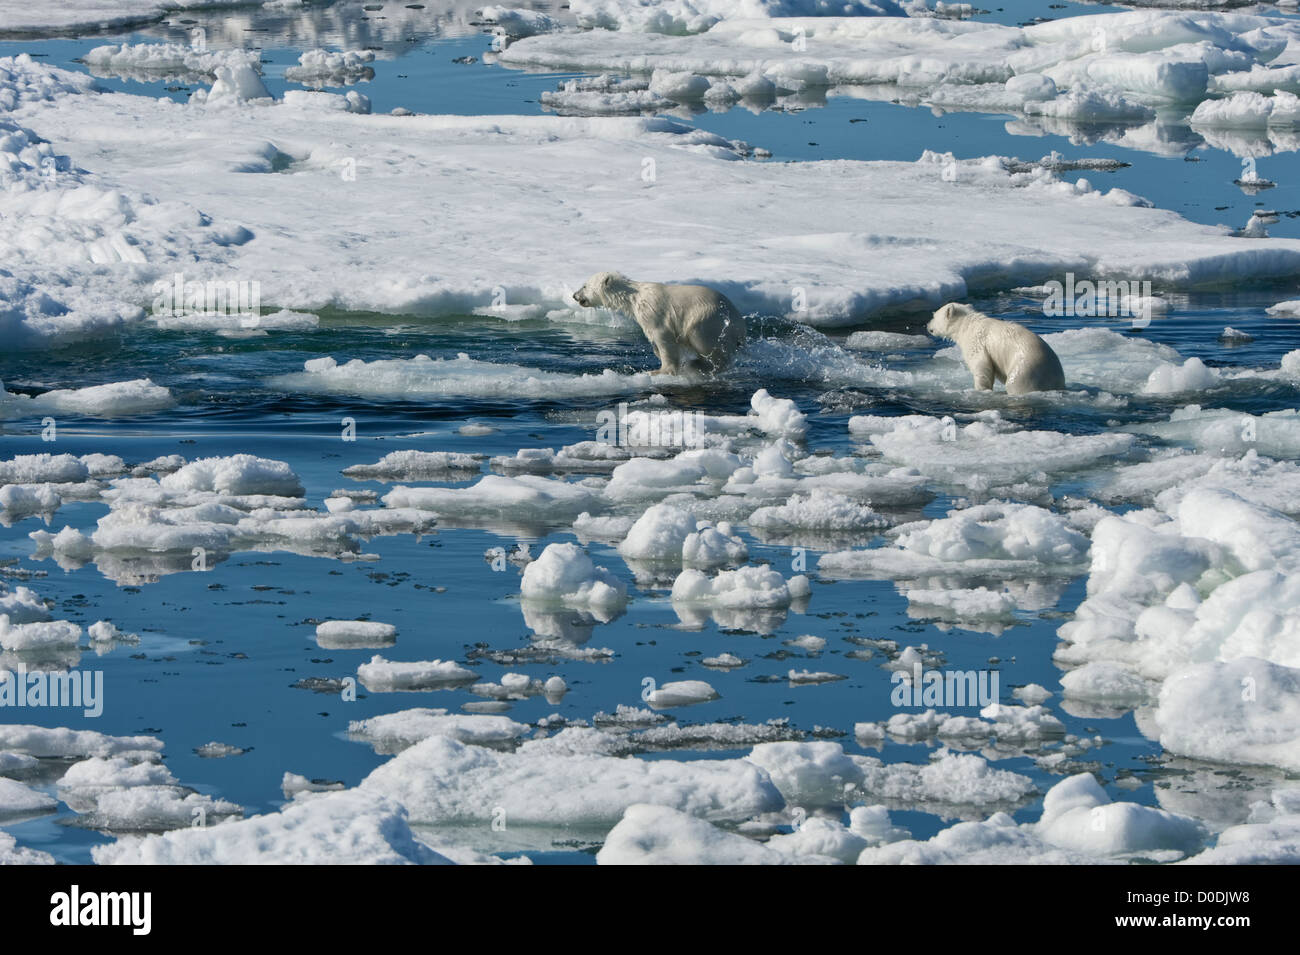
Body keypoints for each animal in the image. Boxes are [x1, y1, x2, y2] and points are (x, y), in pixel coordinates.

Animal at [574, 270, 748, 374]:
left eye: (584, 286)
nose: (574, 295)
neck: (633, 297)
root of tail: (739, 323)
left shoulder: (653, 312)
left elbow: (662, 336)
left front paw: (660, 370)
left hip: (707, 318)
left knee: (704, 341)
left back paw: (704, 364)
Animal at [935, 302, 1066, 392]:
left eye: (934, 316)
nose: (930, 327)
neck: (967, 324)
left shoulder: (975, 342)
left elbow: (981, 366)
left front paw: (980, 389)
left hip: (1025, 372)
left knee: (1015, 384)